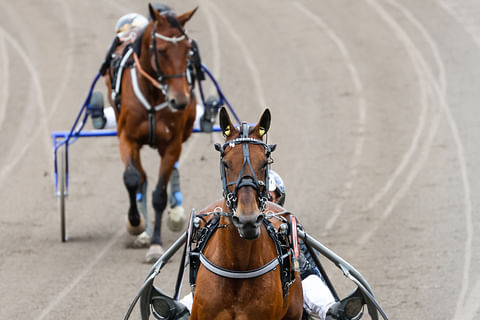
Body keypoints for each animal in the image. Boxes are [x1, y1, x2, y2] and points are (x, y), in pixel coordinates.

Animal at [105, 3, 199, 262]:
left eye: (187, 49)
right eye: (162, 50)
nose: (180, 100)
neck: (154, 93)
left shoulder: (172, 144)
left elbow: (159, 195)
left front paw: (156, 245)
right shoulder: (127, 138)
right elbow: (132, 178)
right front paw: (136, 224)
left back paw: (175, 214)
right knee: (142, 178)